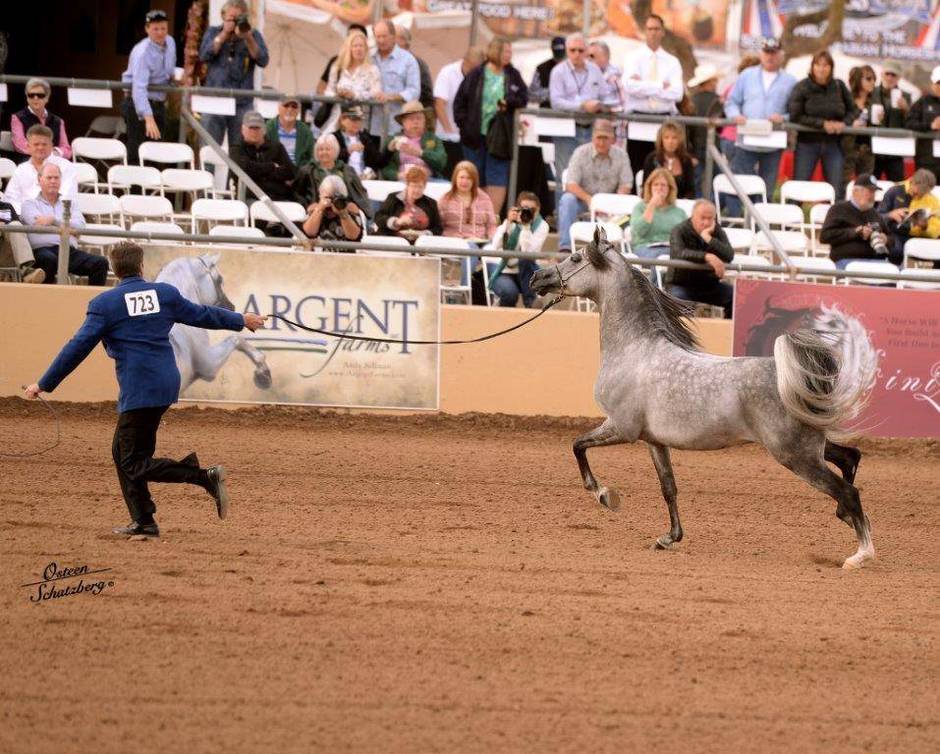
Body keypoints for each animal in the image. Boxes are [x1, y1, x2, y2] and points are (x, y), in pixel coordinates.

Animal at [530, 228, 879, 570]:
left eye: (576, 258)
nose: (536, 277)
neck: (635, 350)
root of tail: (795, 378)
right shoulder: (654, 441)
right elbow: (668, 488)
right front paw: (669, 538)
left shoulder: (621, 428)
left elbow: (577, 445)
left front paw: (603, 494)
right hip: (810, 446)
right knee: (850, 458)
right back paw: (847, 520)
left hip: (796, 454)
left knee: (848, 491)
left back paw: (860, 555)